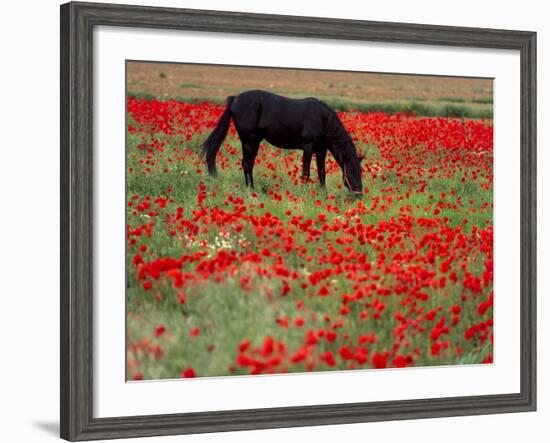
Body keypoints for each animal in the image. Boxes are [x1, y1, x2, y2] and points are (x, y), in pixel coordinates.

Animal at [201, 90, 364, 194]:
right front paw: (305, 193)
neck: (322, 119)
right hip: (248, 140)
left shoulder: (321, 149)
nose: (359, 194)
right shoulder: (308, 147)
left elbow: (321, 172)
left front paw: (323, 193)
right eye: (351, 170)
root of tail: (235, 99)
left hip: (254, 141)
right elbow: (306, 172)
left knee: (249, 164)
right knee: (246, 164)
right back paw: (251, 189)